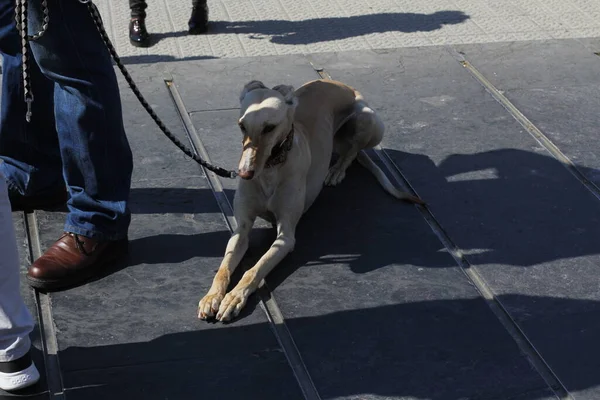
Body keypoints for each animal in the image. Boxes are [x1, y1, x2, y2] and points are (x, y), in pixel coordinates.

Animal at [197, 78, 422, 322]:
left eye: (269, 127)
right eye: (242, 126)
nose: (245, 173)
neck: (271, 168)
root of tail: (338, 83)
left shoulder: (286, 236)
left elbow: (255, 269)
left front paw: (234, 298)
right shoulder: (241, 229)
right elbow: (224, 268)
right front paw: (212, 296)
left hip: (369, 120)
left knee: (353, 151)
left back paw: (337, 170)